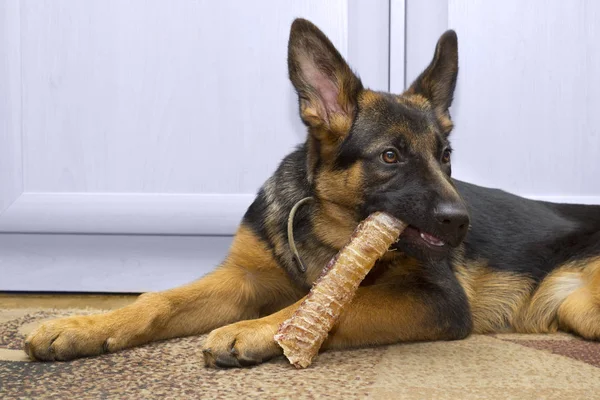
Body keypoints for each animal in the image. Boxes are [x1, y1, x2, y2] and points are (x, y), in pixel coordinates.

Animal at [25, 19, 600, 368]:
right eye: (390, 157)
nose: (461, 222)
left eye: (446, 156)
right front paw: (85, 325)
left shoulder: (436, 299)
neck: (328, 228)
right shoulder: (242, 279)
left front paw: (255, 331)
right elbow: (158, 299)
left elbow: (335, 304)